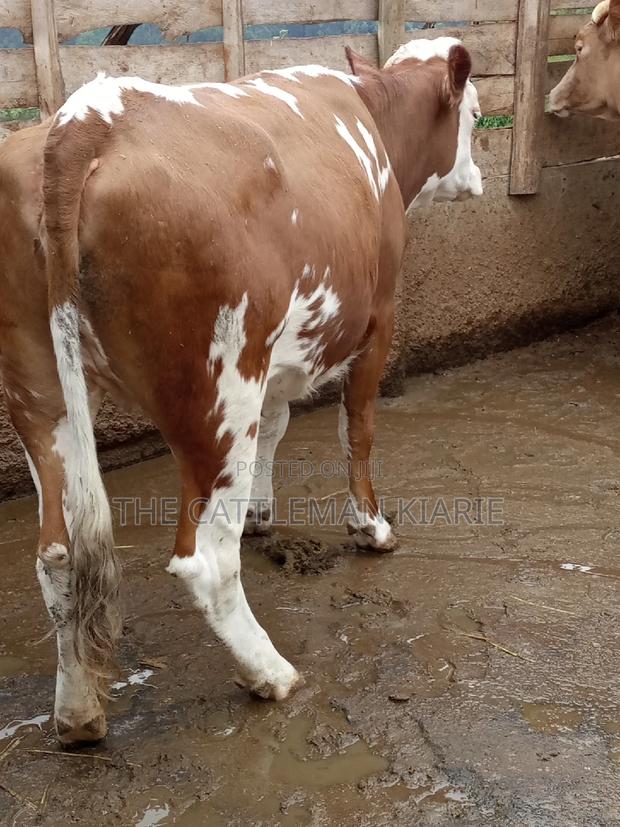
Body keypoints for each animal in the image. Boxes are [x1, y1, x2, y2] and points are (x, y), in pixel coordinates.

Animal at [1, 36, 482, 745]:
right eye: (474, 112)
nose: (479, 180)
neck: (373, 118)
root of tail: (88, 116)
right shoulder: (378, 320)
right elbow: (358, 428)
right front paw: (371, 527)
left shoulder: (280, 353)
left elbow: (279, 428)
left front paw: (261, 511)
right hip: (218, 390)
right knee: (203, 558)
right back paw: (271, 673)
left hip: (41, 394)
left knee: (60, 555)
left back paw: (78, 713)